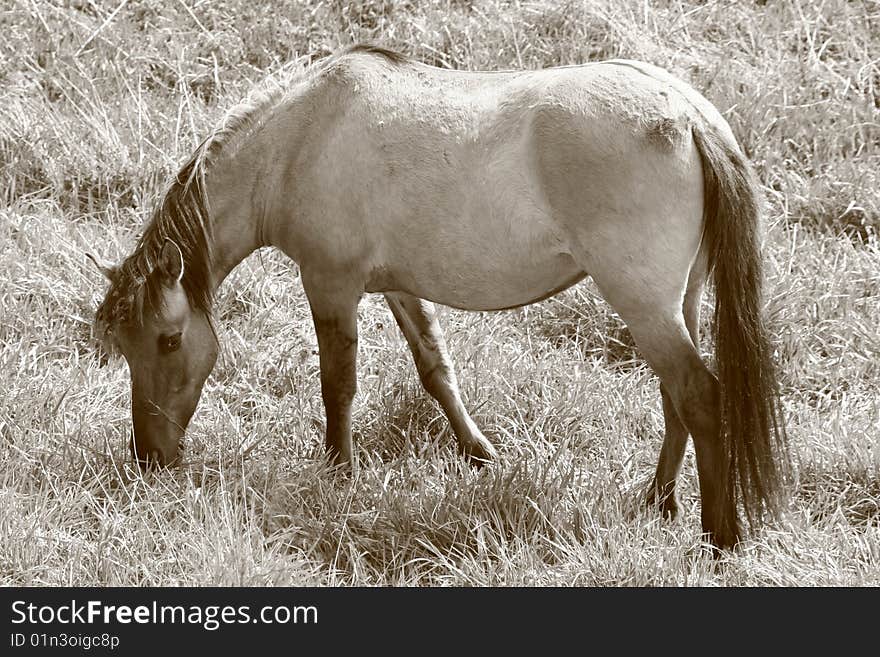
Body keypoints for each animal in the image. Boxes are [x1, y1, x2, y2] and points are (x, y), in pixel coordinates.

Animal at [87, 43, 792, 548]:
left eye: (168, 340)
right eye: (123, 346)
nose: (149, 459)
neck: (300, 138)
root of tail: (690, 114)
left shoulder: (331, 284)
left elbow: (338, 384)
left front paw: (339, 475)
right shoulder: (400, 287)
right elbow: (436, 370)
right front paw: (479, 453)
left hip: (643, 303)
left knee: (699, 394)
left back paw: (719, 535)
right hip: (678, 302)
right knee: (677, 398)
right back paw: (658, 501)